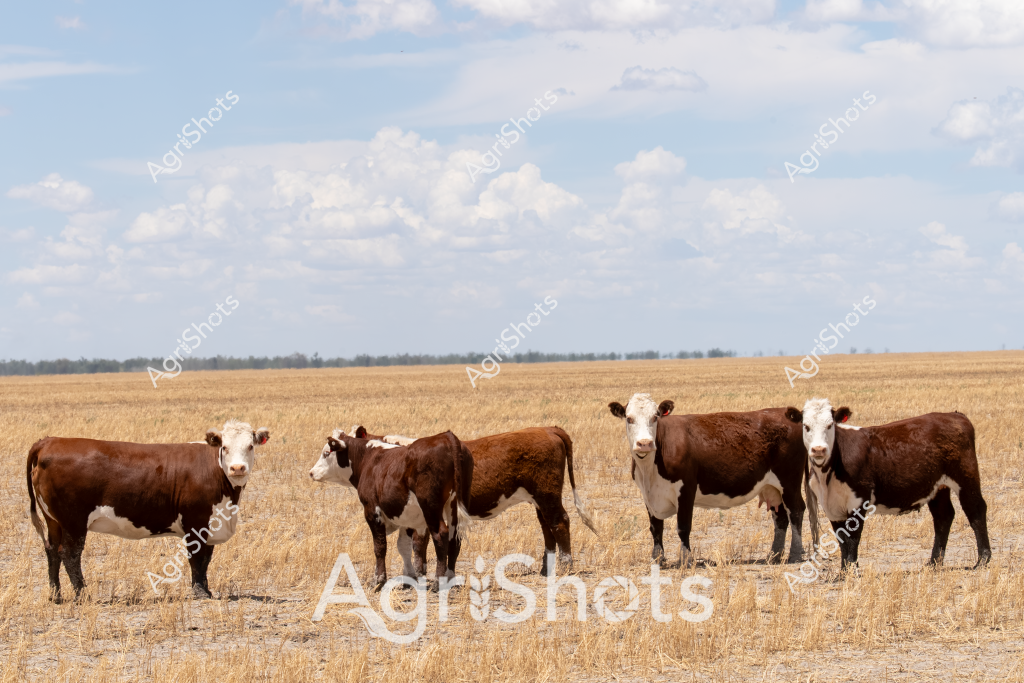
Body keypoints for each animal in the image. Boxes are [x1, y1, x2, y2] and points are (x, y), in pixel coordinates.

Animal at [27, 419, 270, 601]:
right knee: (69, 554)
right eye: (224, 447)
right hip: (73, 521)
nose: (237, 468)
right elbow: (196, 558)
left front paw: (207, 590)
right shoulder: (196, 522)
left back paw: (56, 595)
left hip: (54, 521)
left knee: (51, 551)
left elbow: (206, 559)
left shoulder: (210, 524)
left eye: (250, 446)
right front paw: (200, 592)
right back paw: (82, 595)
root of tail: (49, 441)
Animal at [308, 430, 473, 590]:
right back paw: (450, 578)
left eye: (326, 453)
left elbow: (380, 546)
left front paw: (378, 580)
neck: (368, 459)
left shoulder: (372, 511)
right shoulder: (407, 518)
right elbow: (404, 546)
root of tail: (446, 436)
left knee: (440, 535)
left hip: (431, 508)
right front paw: (409, 579)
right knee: (454, 538)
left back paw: (438, 582)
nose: (311, 472)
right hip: (453, 507)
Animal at [353, 425, 598, 576]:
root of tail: (548, 429)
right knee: (547, 528)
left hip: (548, 495)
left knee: (560, 523)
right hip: (540, 500)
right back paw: (546, 569)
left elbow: (419, 544)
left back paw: (565, 567)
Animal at [608, 393, 816, 567]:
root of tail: (789, 415)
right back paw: (773, 555)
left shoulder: (686, 489)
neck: (650, 469)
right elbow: (655, 528)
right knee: (780, 517)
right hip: (772, 487)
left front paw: (686, 559)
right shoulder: (648, 495)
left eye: (655, 417)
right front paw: (657, 558)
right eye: (629, 418)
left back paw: (795, 554)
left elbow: (683, 527)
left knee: (796, 511)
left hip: (789, 481)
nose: (644, 443)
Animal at [786, 398, 991, 570]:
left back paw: (983, 559)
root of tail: (955, 415)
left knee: (976, 511)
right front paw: (844, 571)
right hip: (938, 487)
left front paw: (852, 570)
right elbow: (841, 538)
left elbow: (853, 538)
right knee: (943, 517)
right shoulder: (832, 506)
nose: (818, 449)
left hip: (966, 478)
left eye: (830, 425)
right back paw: (934, 562)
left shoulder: (859, 501)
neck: (829, 473)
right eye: (806, 426)